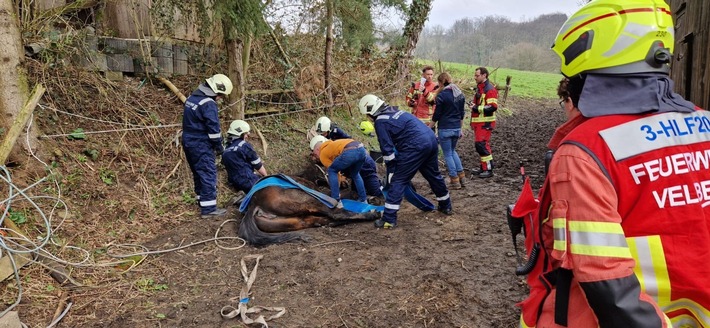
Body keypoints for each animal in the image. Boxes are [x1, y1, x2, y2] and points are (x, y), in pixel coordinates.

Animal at [238, 174, 384, 246]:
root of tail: (255, 203)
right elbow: (347, 196)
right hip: (307, 199)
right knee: (335, 214)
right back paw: (372, 214)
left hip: (287, 221)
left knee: (315, 220)